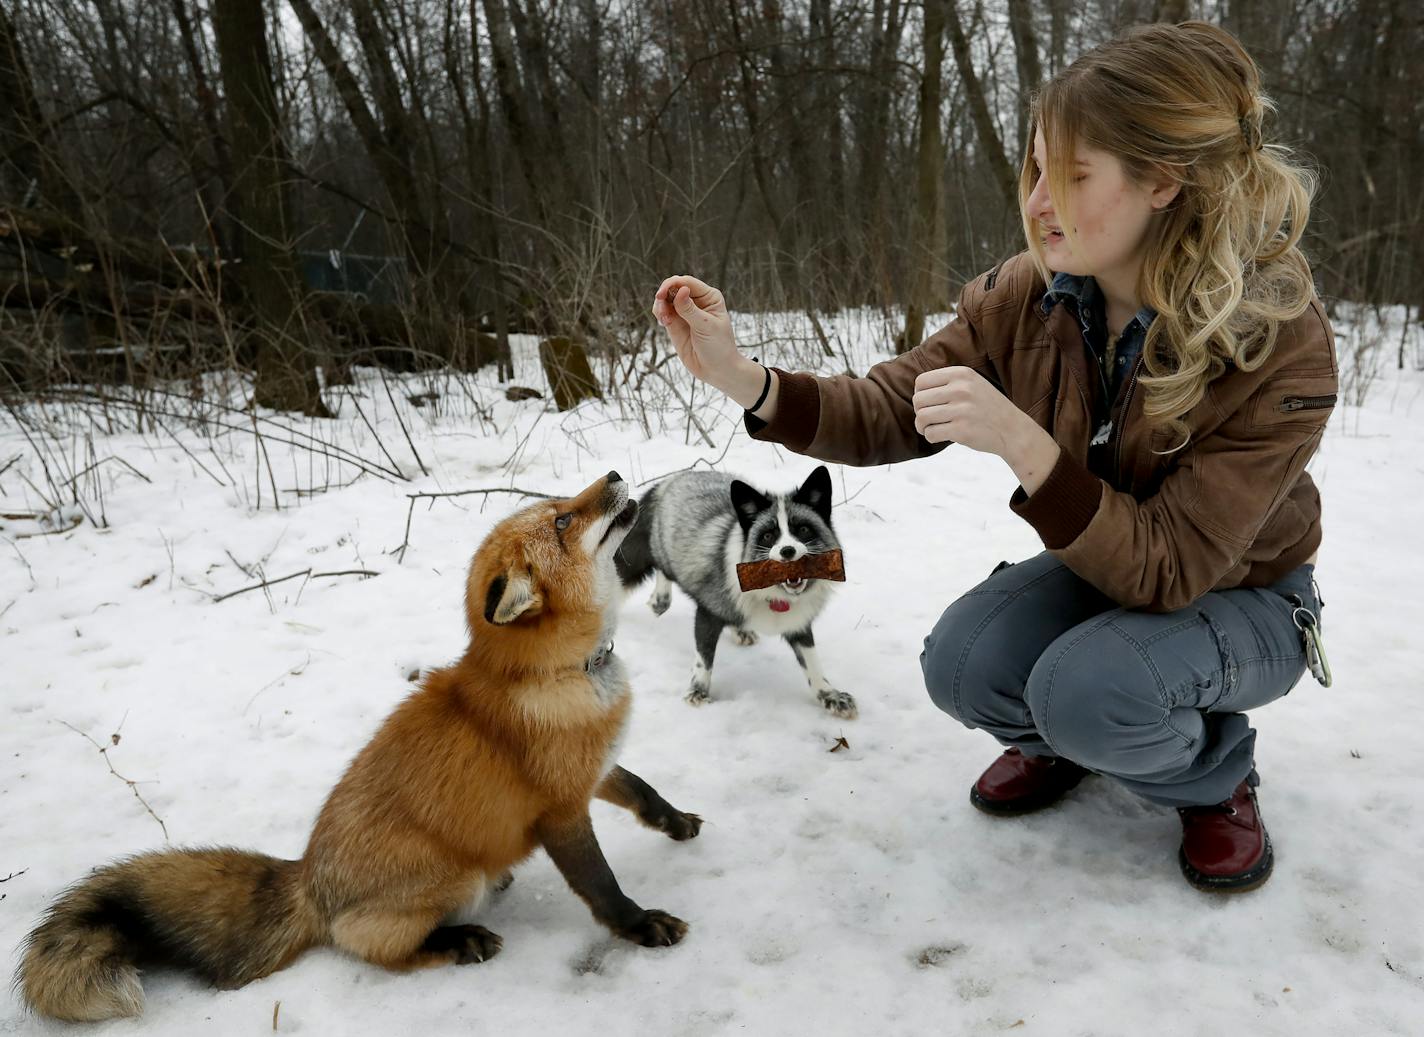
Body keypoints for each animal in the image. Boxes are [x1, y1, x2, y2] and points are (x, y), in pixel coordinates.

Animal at [11, 472, 700, 1025]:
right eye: (562, 520)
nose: (614, 474)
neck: (558, 672)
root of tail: (307, 878)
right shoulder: (560, 810)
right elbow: (602, 886)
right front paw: (640, 926)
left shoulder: (593, 769)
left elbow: (642, 790)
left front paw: (677, 823)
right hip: (454, 878)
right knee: (373, 949)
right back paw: (457, 942)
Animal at [615, 467, 854, 717]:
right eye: (768, 536)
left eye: (804, 530)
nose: (788, 551)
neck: (774, 596)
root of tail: (669, 480)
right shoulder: (707, 614)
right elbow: (704, 659)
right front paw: (698, 691)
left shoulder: (798, 623)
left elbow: (812, 662)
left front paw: (830, 696)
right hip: (654, 557)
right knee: (659, 569)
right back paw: (659, 600)